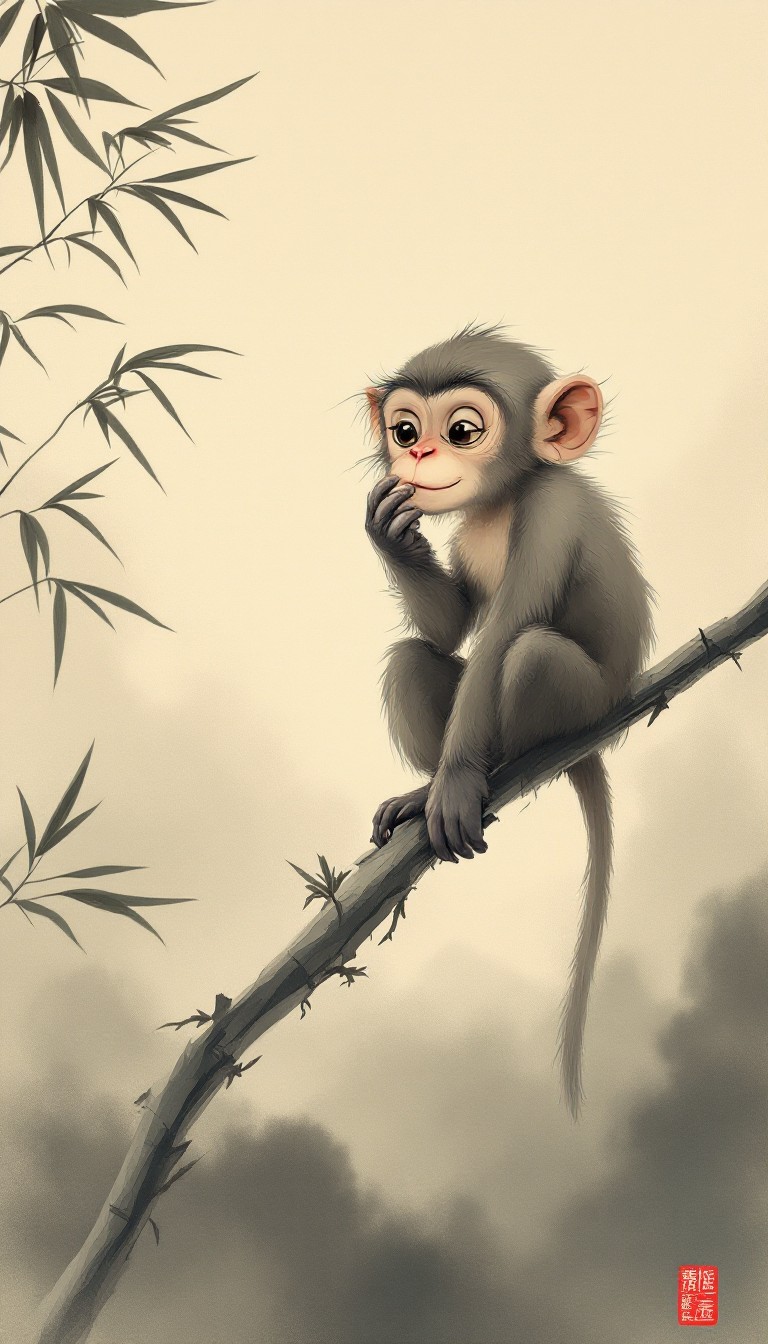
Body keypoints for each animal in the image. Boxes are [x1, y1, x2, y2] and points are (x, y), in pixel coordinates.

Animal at [362, 323, 654, 1117]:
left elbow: (499, 637)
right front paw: (392, 534)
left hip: (586, 704)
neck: (503, 499)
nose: (419, 457)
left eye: (463, 430)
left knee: (531, 654)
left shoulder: (551, 511)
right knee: (411, 658)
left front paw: (459, 785)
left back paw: (492, 770)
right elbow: (448, 627)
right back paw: (422, 790)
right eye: (405, 430)